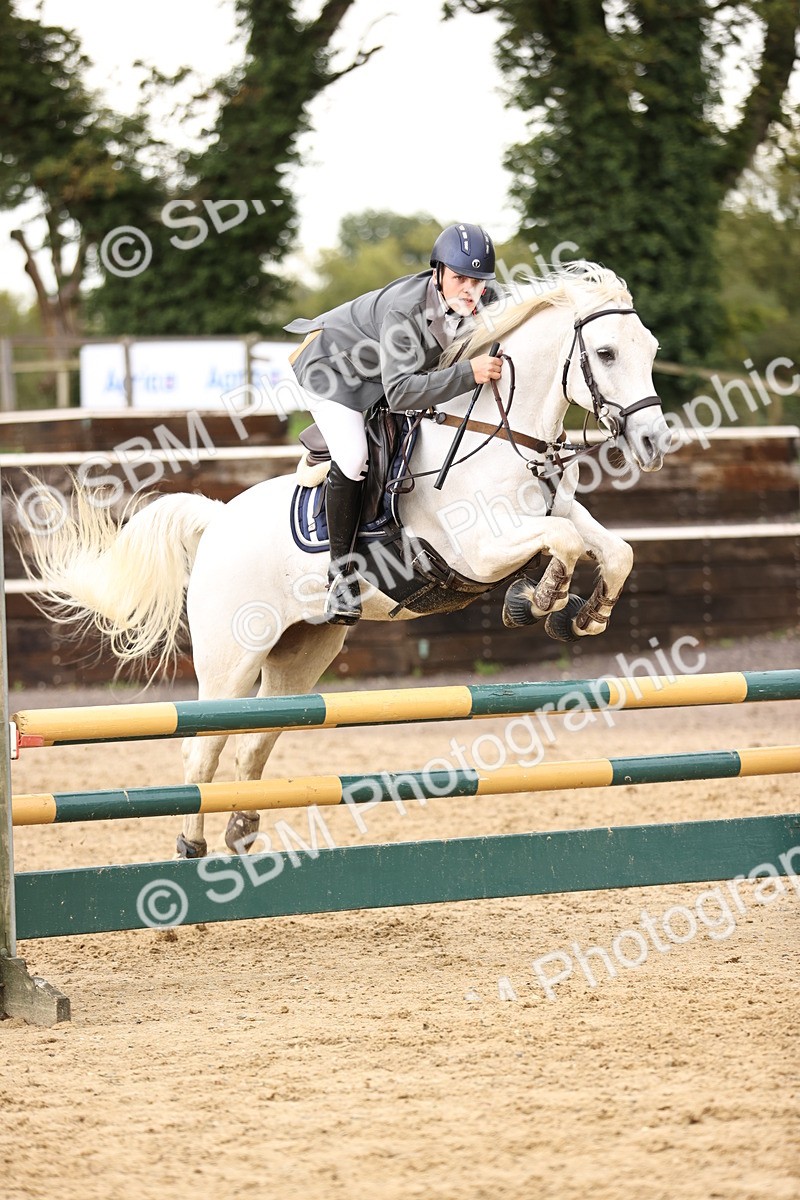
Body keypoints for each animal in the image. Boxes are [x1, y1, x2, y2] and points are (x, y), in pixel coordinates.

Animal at [21, 263, 671, 859]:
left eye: (652, 351)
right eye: (606, 353)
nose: (655, 444)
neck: (500, 433)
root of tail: (218, 523)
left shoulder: (558, 510)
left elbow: (612, 549)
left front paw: (582, 615)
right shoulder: (478, 550)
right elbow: (562, 543)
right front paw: (534, 601)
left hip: (300, 654)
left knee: (255, 740)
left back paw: (242, 829)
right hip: (230, 659)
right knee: (202, 745)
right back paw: (191, 843)